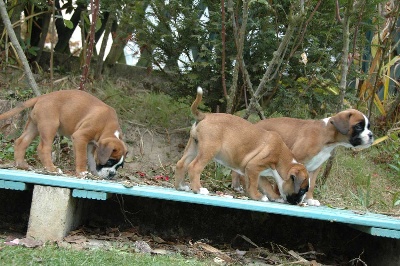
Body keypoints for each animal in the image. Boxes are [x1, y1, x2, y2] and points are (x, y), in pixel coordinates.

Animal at [174, 88, 310, 205]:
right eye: (302, 190)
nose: (299, 202)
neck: (281, 159)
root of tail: (205, 116)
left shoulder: (257, 172)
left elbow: (267, 186)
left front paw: (275, 197)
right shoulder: (253, 167)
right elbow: (253, 185)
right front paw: (257, 196)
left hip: (193, 147)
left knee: (181, 164)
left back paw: (181, 186)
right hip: (208, 151)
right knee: (194, 167)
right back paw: (199, 189)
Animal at [230, 108, 374, 206]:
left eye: (367, 126)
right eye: (358, 126)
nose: (371, 135)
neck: (326, 138)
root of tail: (255, 125)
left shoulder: (315, 168)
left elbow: (311, 184)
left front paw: (309, 199)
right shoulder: (294, 160)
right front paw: (280, 195)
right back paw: (239, 186)